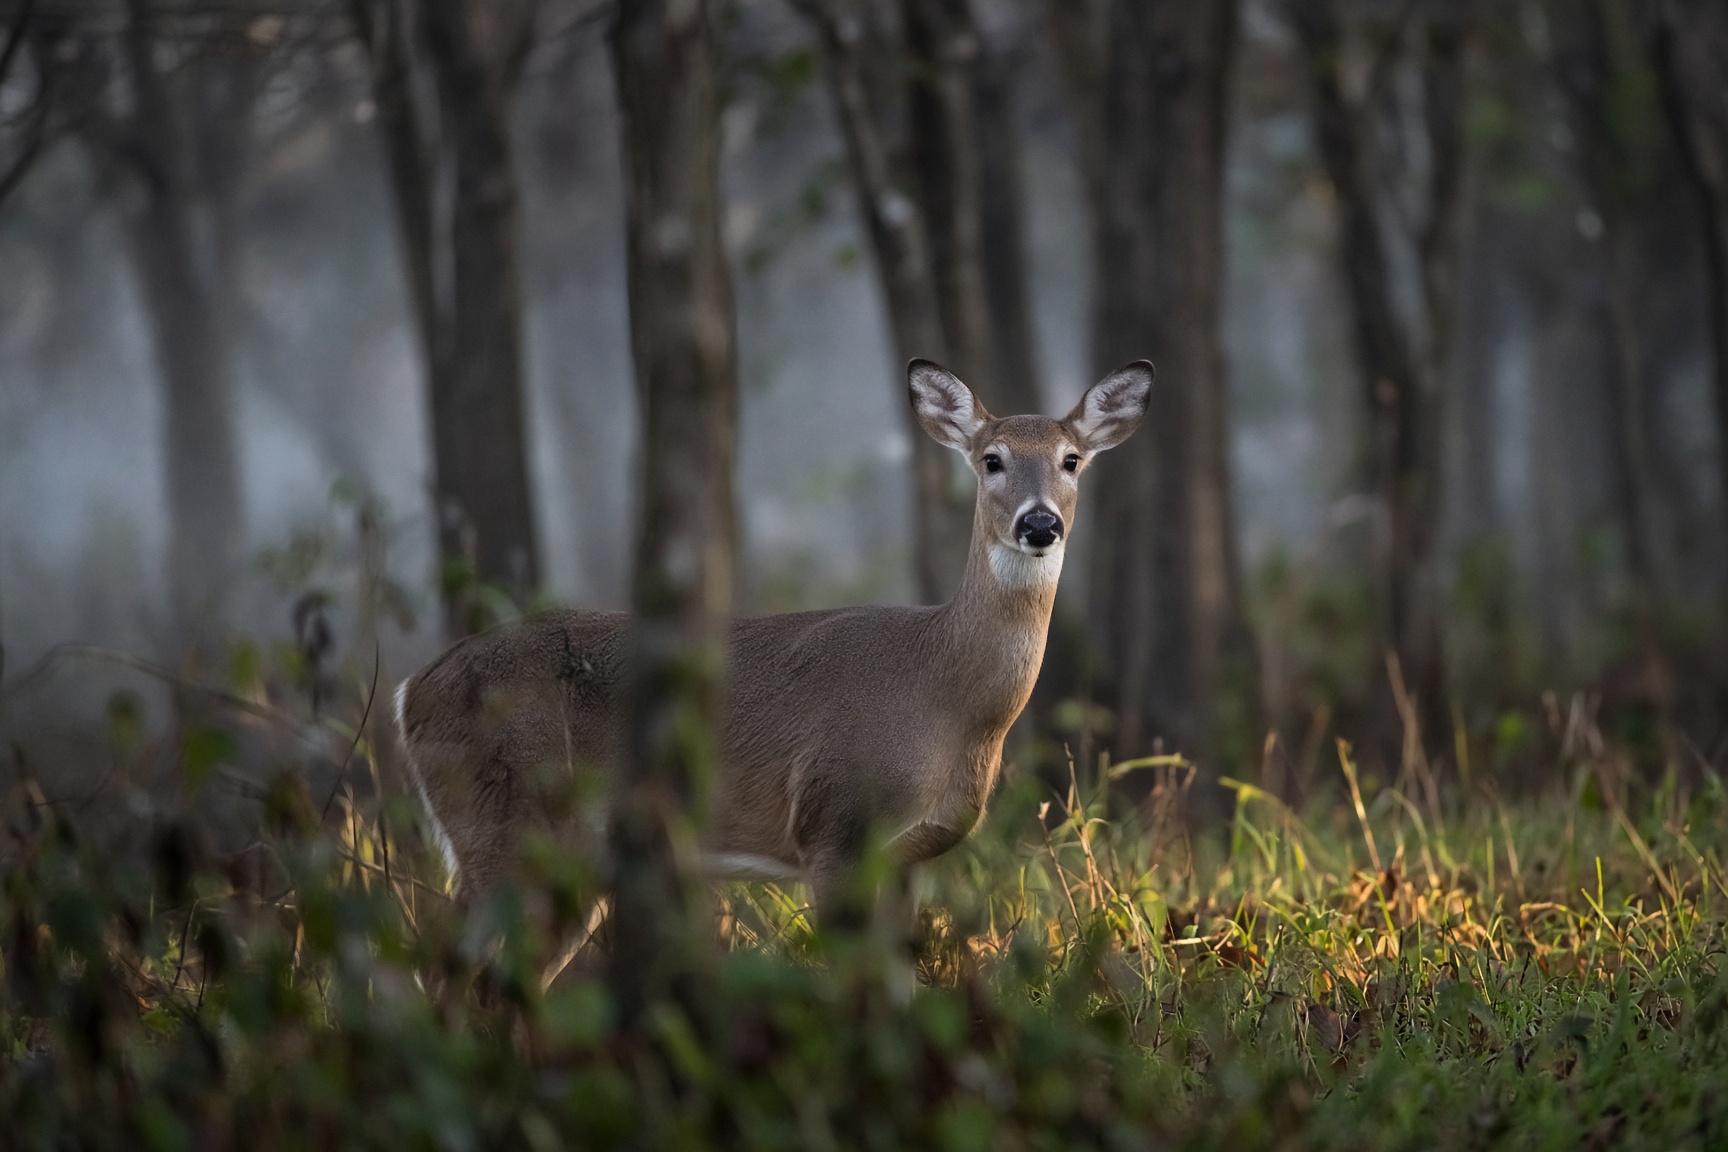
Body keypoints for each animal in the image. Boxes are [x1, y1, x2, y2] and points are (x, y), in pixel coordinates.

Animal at [395, 358, 1152, 927]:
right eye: (992, 459)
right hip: (504, 820)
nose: (1040, 524)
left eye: (1072, 460)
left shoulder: (909, 855)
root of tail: (412, 690)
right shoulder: (833, 827)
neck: (945, 696)